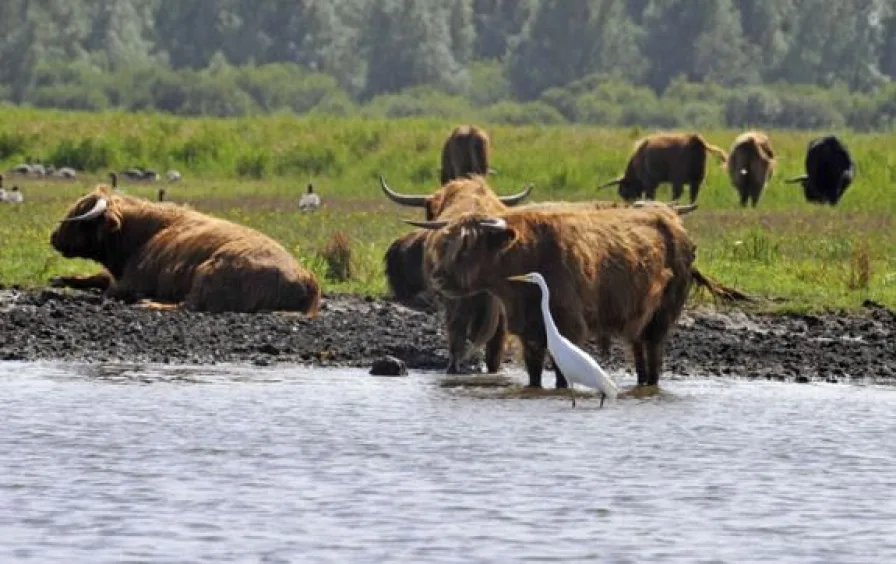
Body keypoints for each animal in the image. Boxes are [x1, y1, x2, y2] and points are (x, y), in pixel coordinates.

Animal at [596, 132, 728, 203]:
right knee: (693, 196)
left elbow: (650, 196)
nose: (629, 202)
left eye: (623, 191)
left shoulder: (650, 182)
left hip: (678, 178)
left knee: (677, 194)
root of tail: (694, 139)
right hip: (698, 178)